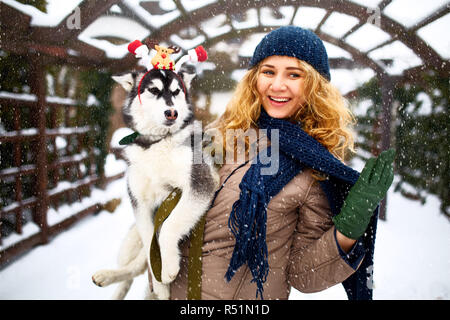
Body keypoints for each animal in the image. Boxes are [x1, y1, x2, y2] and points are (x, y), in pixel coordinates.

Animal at [91, 66, 218, 298]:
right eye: (153, 90)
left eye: (176, 92)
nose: (172, 113)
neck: (156, 144)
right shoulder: (140, 205)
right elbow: (151, 255)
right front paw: (161, 281)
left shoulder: (200, 182)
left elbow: (169, 226)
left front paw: (168, 268)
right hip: (131, 240)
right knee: (135, 267)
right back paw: (112, 280)